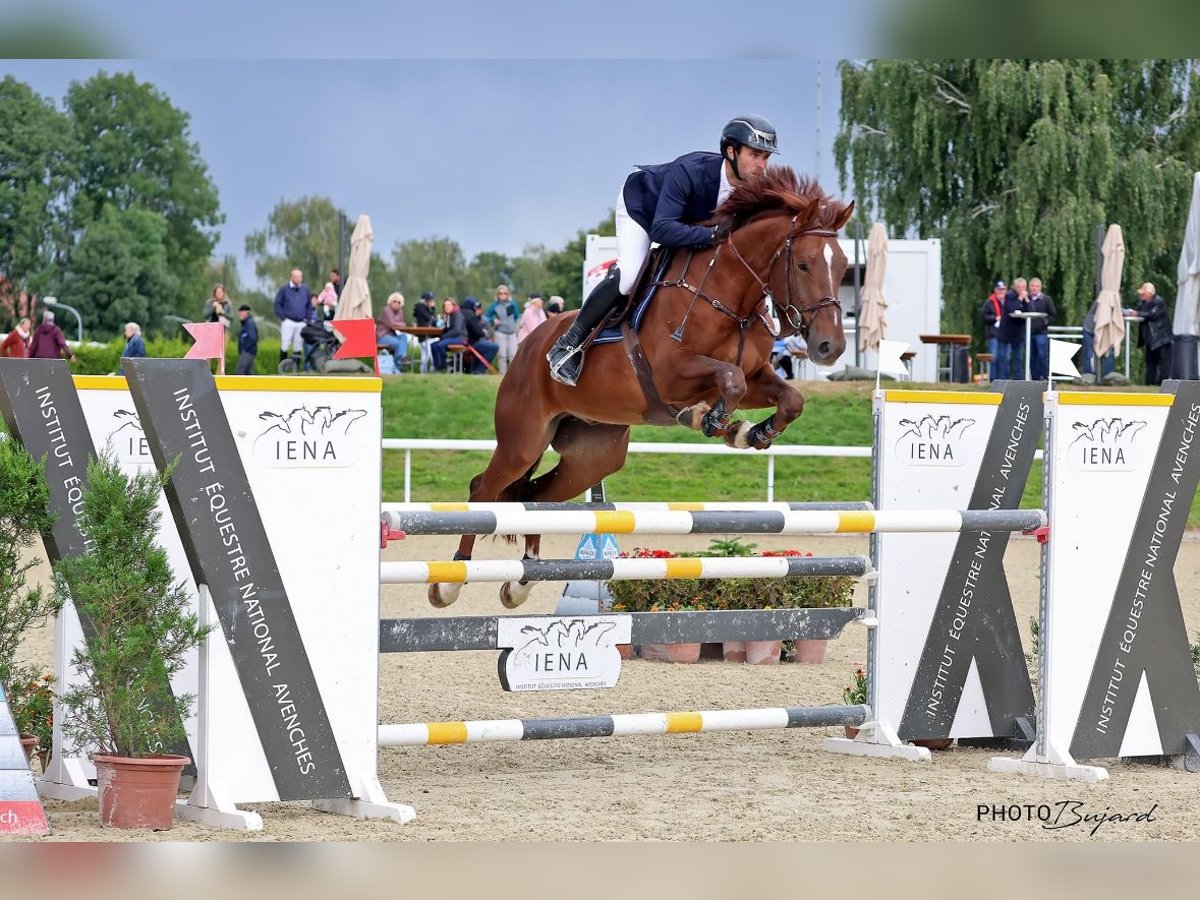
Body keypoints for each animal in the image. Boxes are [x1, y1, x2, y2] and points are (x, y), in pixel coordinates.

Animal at [432, 166, 854, 609]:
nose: (830, 347)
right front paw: (711, 420)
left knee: (535, 496)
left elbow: (789, 397)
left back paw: (521, 581)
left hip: (593, 457)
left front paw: (752, 432)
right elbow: (729, 381)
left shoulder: (757, 375)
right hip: (523, 439)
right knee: (484, 489)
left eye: (843, 265)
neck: (728, 297)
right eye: (803, 264)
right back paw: (449, 581)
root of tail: (528, 347)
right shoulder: (672, 374)